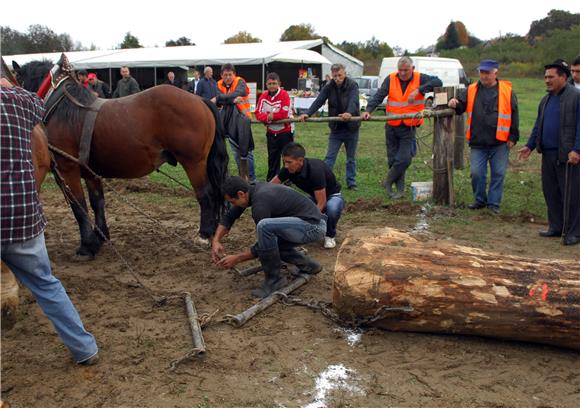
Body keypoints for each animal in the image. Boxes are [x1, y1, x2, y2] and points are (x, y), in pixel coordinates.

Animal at [14, 55, 229, 258]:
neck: (65, 109)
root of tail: (200, 100)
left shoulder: (67, 169)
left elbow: (79, 206)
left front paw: (87, 247)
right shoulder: (90, 172)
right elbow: (97, 202)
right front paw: (100, 238)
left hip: (194, 162)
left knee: (206, 194)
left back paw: (204, 234)